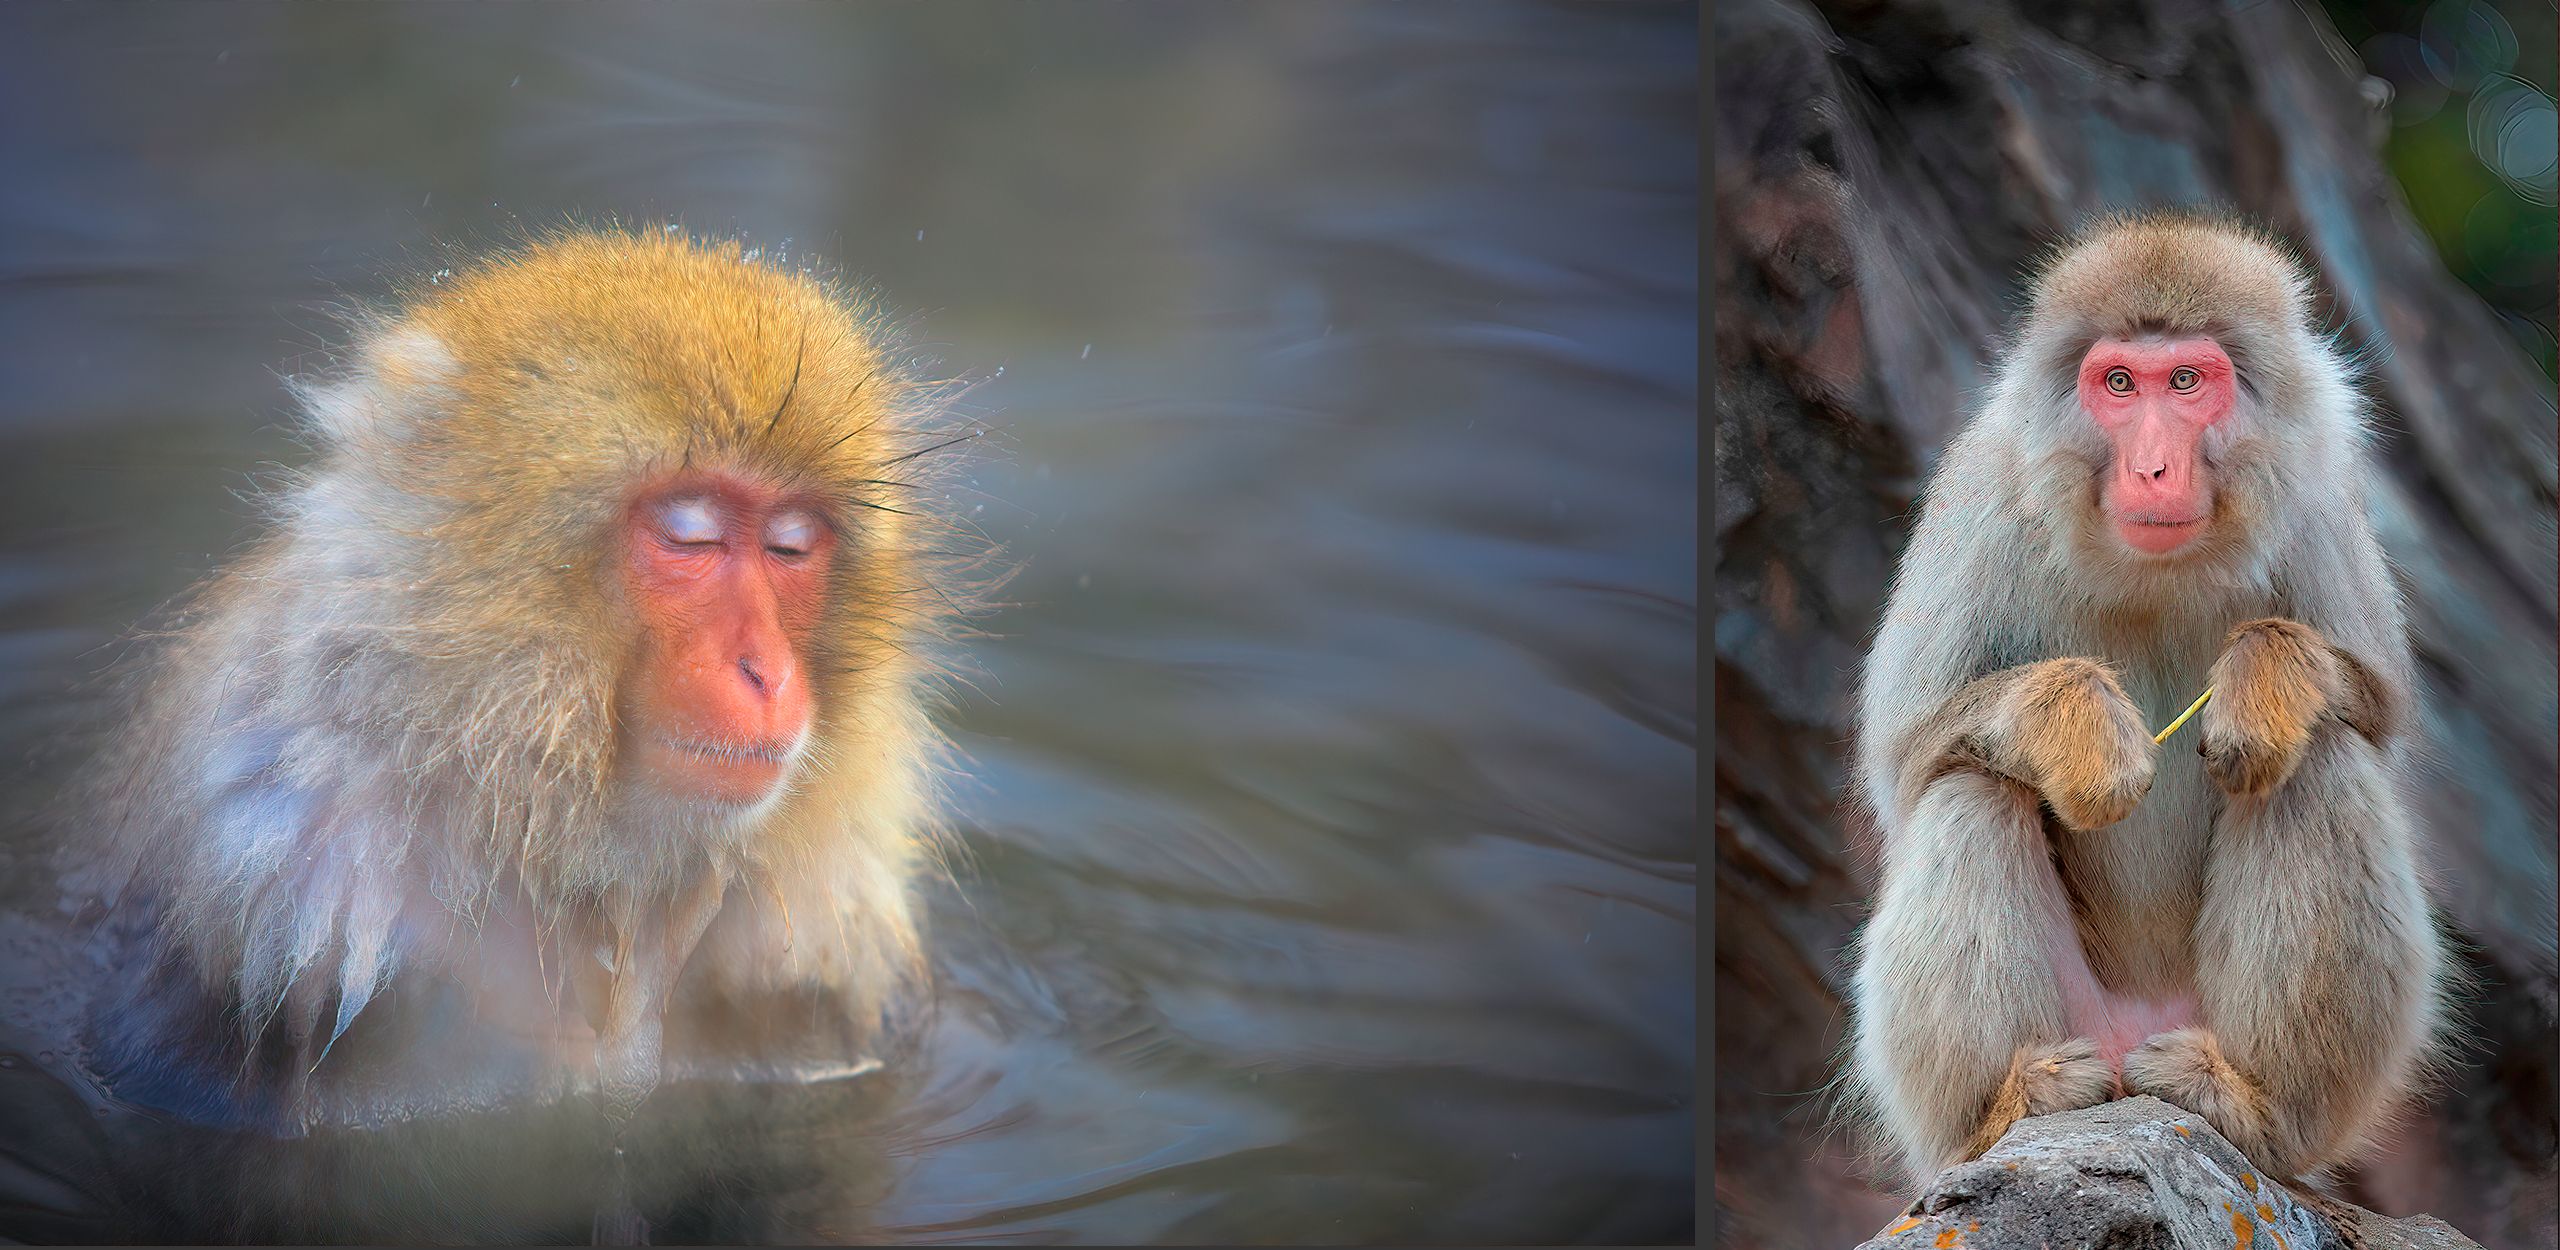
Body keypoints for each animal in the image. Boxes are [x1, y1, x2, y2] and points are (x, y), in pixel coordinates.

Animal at [1844, 212, 2450, 1193]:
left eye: (2188, 381)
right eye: (2120, 384)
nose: (2155, 467)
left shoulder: (2320, 493)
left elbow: (2373, 710)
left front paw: (2267, 680)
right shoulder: (1983, 493)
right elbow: (1906, 759)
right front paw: (2075, 724)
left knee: (2317, 759)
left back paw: (2249, 1104)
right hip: (2070, 1032)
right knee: (1970, 790)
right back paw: (2009, 1106)